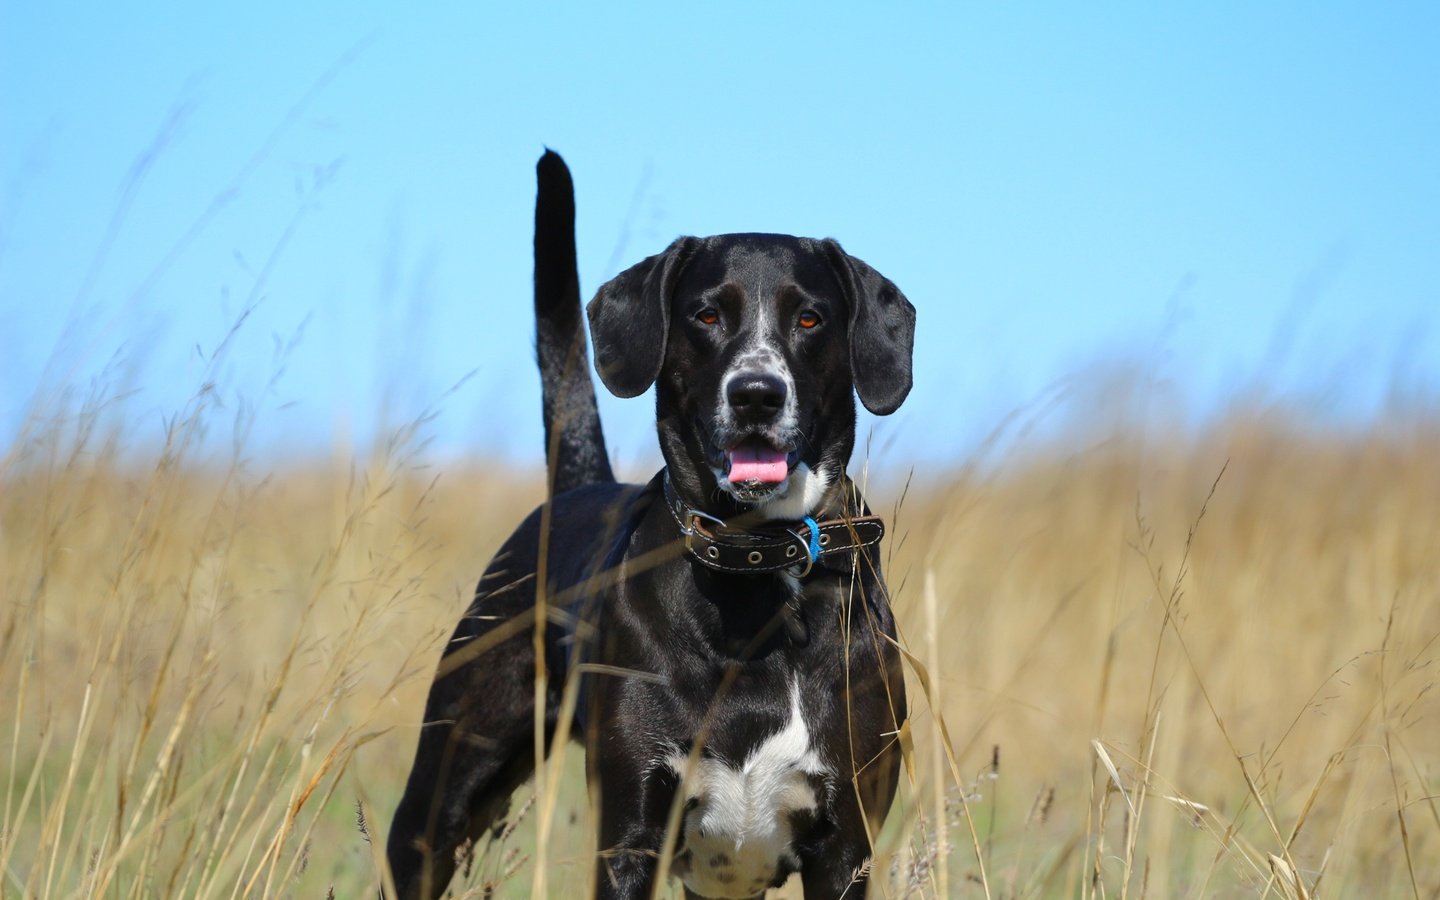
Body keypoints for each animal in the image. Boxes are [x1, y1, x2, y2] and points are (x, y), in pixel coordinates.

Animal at [385, 151, 910, 892]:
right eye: (707, 314)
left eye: (809, 320)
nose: (756, 393)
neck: (760, 565)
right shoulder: (630, 835)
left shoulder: (846, 848)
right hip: (446, 789)